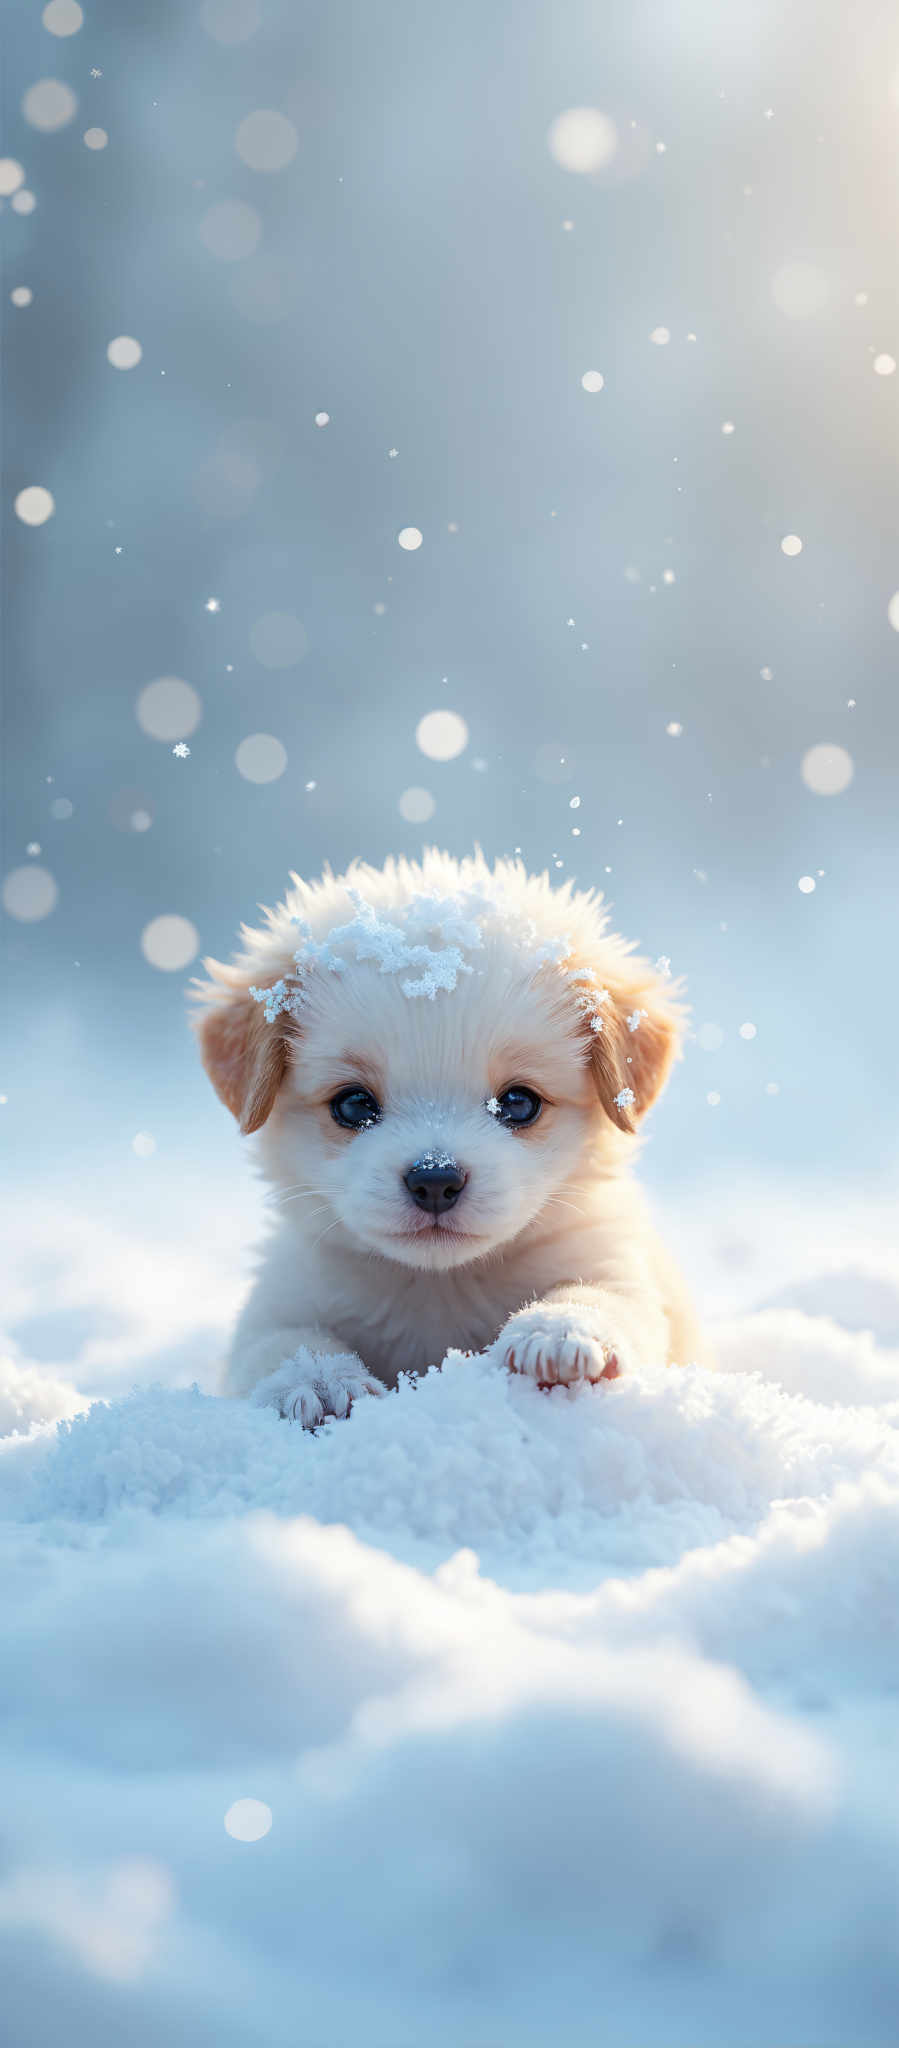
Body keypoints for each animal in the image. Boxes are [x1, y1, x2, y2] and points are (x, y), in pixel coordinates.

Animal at [195, 847, 704, 1425]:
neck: (440, 1284)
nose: (434, 1181)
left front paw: (557, 1332)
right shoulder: (282, 1300)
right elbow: (283, 1344)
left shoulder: (611, 1262)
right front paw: (319, 1381)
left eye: (519, 1102)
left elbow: (601, 1297)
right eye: (353, 1104)